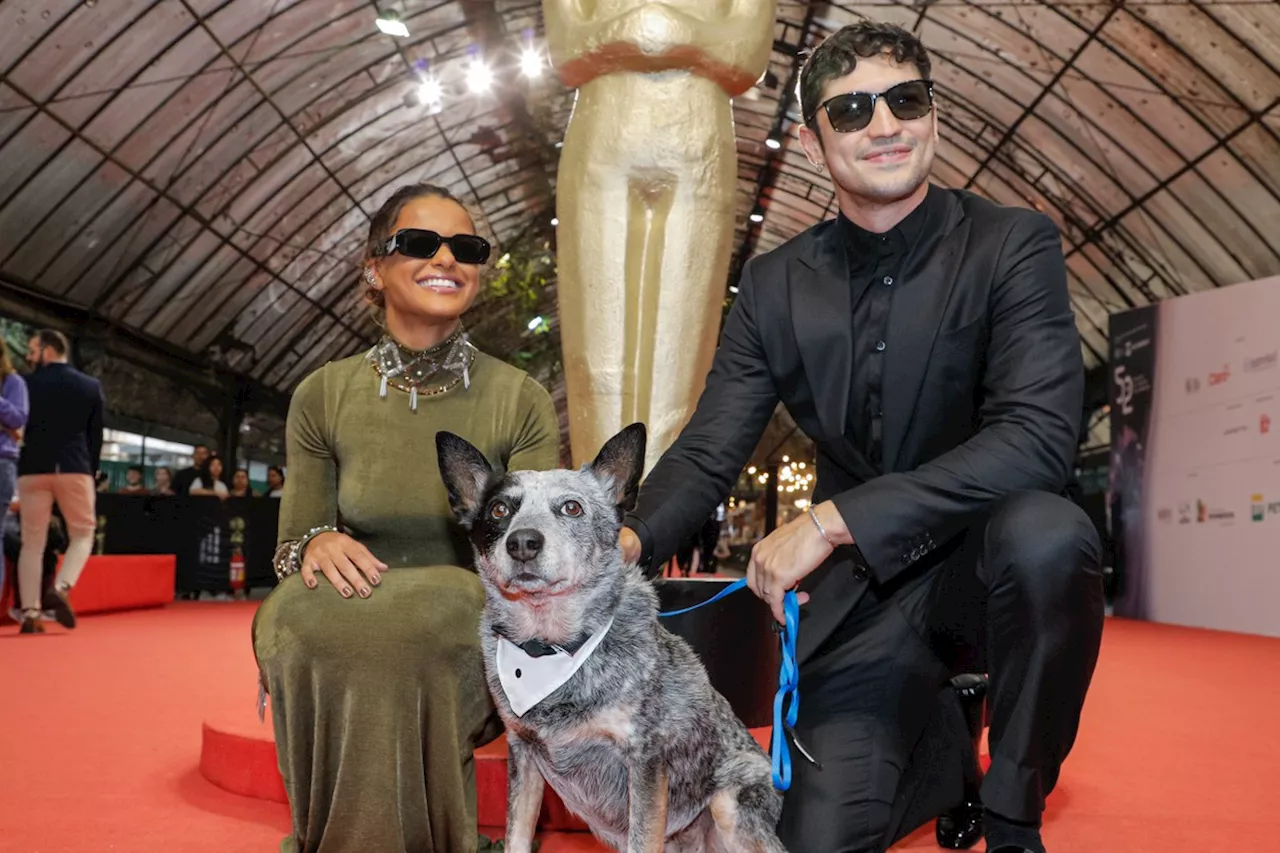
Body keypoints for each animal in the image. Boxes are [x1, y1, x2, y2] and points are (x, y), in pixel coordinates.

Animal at [435, 425, 783, 850]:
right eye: (499, 510)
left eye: (572, 508)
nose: (522, 543)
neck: (549, 649)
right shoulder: (523, 752)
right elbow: (517, 833)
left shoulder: (646, 761)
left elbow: (642, 838)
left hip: (729, 806)